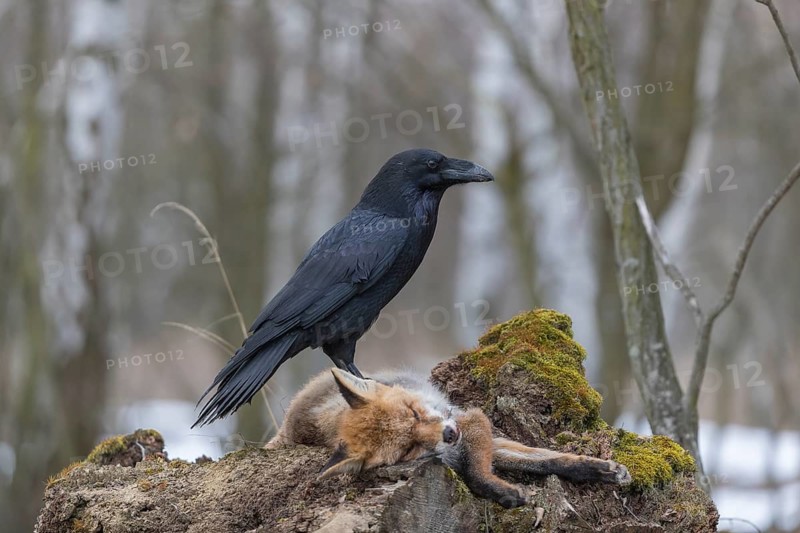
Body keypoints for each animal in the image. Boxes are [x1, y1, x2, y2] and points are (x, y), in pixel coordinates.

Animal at [266, 368, 631, 508]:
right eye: (409, 447)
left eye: (414, 412)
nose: (449, 433)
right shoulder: (466, 439)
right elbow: (477, 474)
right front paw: (504, 491)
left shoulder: (472, 420)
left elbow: (545, 459)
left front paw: (597, 469)